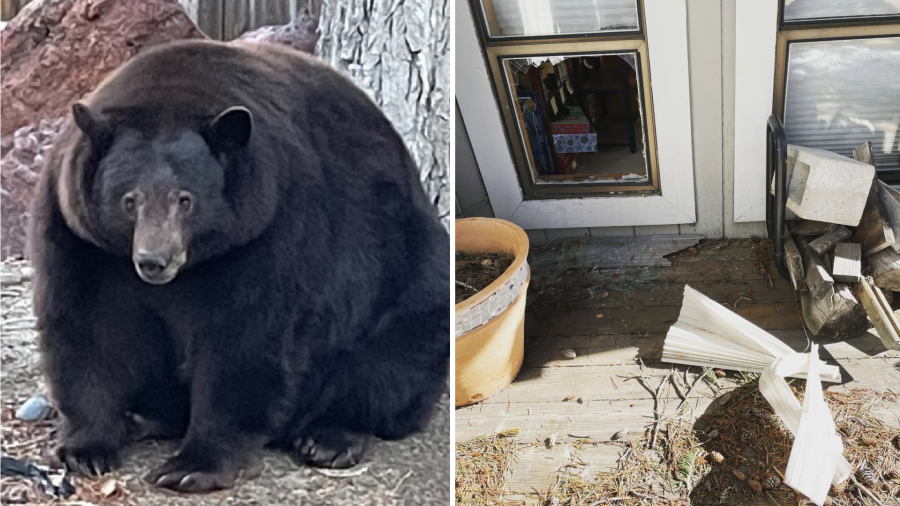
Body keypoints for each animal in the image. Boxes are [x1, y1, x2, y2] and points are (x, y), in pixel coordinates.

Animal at [28, 41, 450, 492]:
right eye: (130, 200)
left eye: (185, 199)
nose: (154, 261)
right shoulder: (79, 235)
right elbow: (88, 326)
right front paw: (86, 449)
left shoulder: (271, 226)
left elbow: (246, 338)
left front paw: (192, 466)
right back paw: (142, 417)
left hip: (405, 272)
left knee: (391, 359)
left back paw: (329, 437)